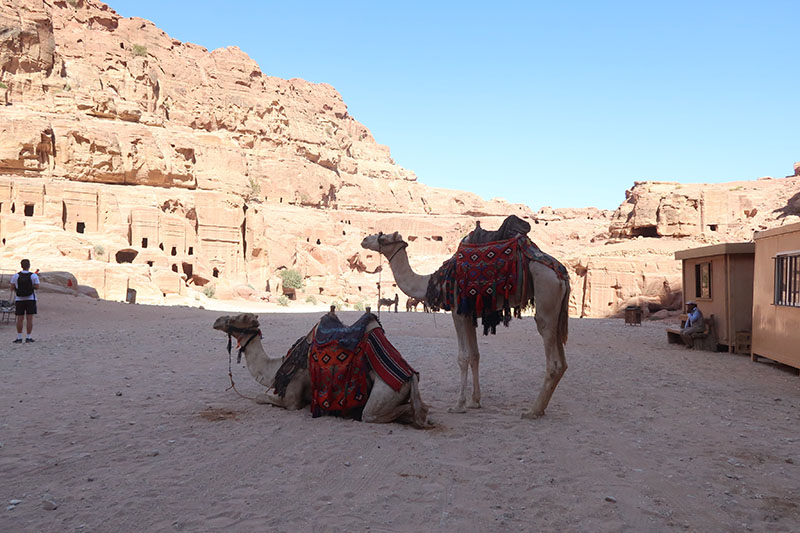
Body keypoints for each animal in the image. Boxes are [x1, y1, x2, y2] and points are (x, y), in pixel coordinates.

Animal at [209, 310, 428, 426]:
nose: (217, 320)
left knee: (378, 412)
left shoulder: (292, 398)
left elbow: (259, 397)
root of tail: (411, 377)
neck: (276, 366)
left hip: (386, 392)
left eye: (239, 317)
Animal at [362, 221, 568, 420]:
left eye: (383, 237)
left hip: (546, 295)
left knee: (552, 356)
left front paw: (458, 405)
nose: (364, 239)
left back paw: (533, 411)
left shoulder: (457, 313)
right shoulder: (469, 315)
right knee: (562, 362)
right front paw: (474, 401)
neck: (433, 281)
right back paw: (539, 408)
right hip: (557, 311)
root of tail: (562, 273)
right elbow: (475, 356)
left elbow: (463, 357)